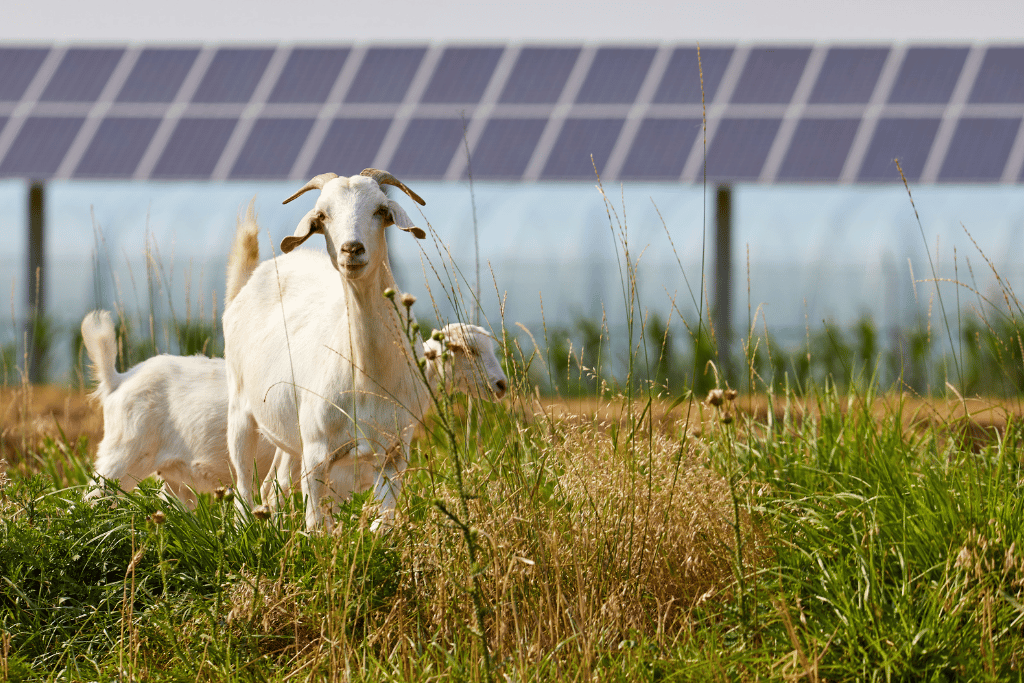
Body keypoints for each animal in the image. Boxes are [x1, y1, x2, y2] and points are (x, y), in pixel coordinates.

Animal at [225, 166, 495, 528]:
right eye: (322, 215)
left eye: (381, 210)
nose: (352, 249)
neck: (367, 374)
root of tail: (254, 276)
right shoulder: (317, 454)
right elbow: (317, 526)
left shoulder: (395, 454)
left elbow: (384, 525)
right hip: (241, 413)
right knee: (243, 485)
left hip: (289, 434)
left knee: (273, 486)